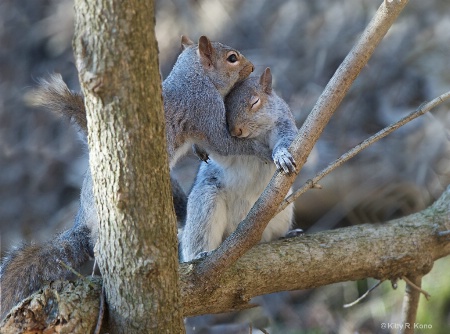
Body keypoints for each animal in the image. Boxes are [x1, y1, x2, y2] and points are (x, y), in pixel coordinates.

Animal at [0, 35, 274, 318]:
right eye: (232, 58)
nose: (252, 67)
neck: (194, 76)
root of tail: (83, 220)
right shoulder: (204, 107)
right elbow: (225, 143)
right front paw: (261, 148)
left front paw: (201, 151)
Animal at [179, 67, 298, 260]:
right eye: (224, 108)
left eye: (255, 101)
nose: (236, 131)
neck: (257, 135)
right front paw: (198, 145)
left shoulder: (284, 124)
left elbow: (287, 141)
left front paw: (282, 156)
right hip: (205, 204)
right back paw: (199, 255)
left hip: (283, 213)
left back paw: (285, 235)